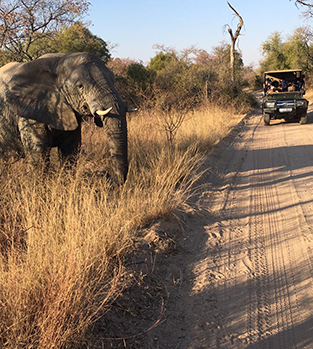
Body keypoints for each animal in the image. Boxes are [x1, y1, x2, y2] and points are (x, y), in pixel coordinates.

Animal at [0, 51, 128, 182]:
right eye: (80, 86)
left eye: (113, 79)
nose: (114, 180)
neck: (59, 61)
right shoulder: (29, 111)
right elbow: (38, 153)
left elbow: (70, 150)